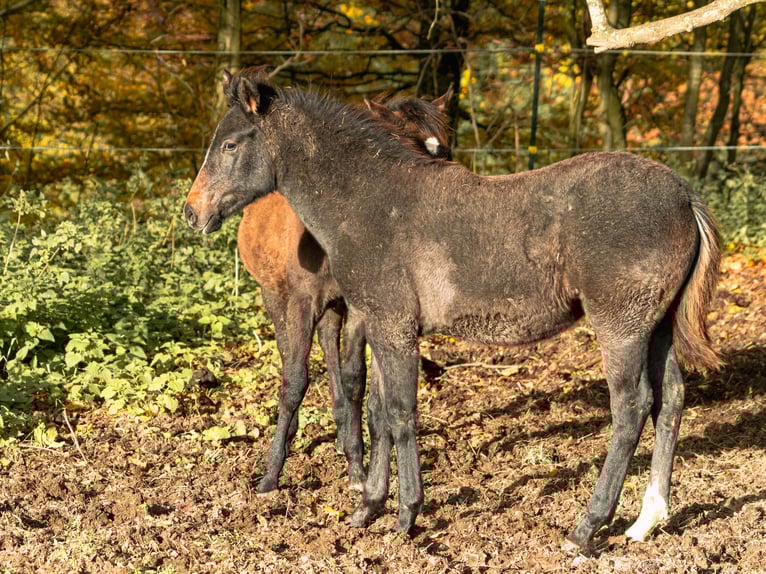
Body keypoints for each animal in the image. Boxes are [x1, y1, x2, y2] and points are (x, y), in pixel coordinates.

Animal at [234, 85, 452, 494]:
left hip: (333, 308)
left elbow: (357, 378)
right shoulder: (304, 302)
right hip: (274, 296)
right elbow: (297, 374)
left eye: (442, 152)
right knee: (290, 353)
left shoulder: (363, 306)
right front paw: (273, 471)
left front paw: (360, 462)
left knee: (330, 352)